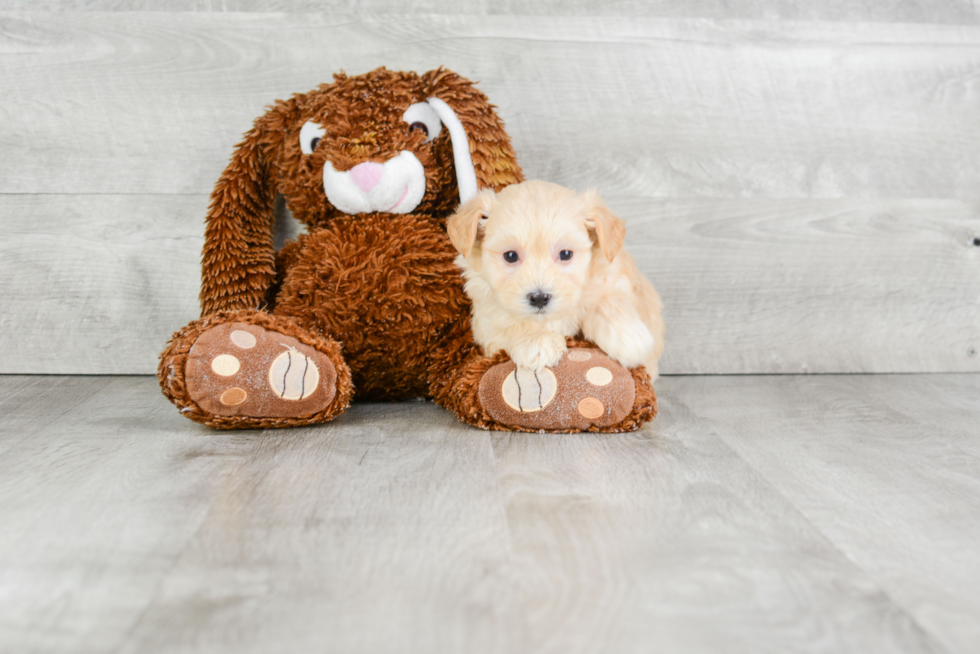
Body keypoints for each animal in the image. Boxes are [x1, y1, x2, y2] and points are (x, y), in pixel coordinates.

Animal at [446, 182, 668, 380]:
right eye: (510, 256)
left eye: (566, 254)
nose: (539, 298)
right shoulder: (486, 321)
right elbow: (511, 323)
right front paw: (539, 342)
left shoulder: (610, 275)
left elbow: (609, 300)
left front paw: (628, 337)